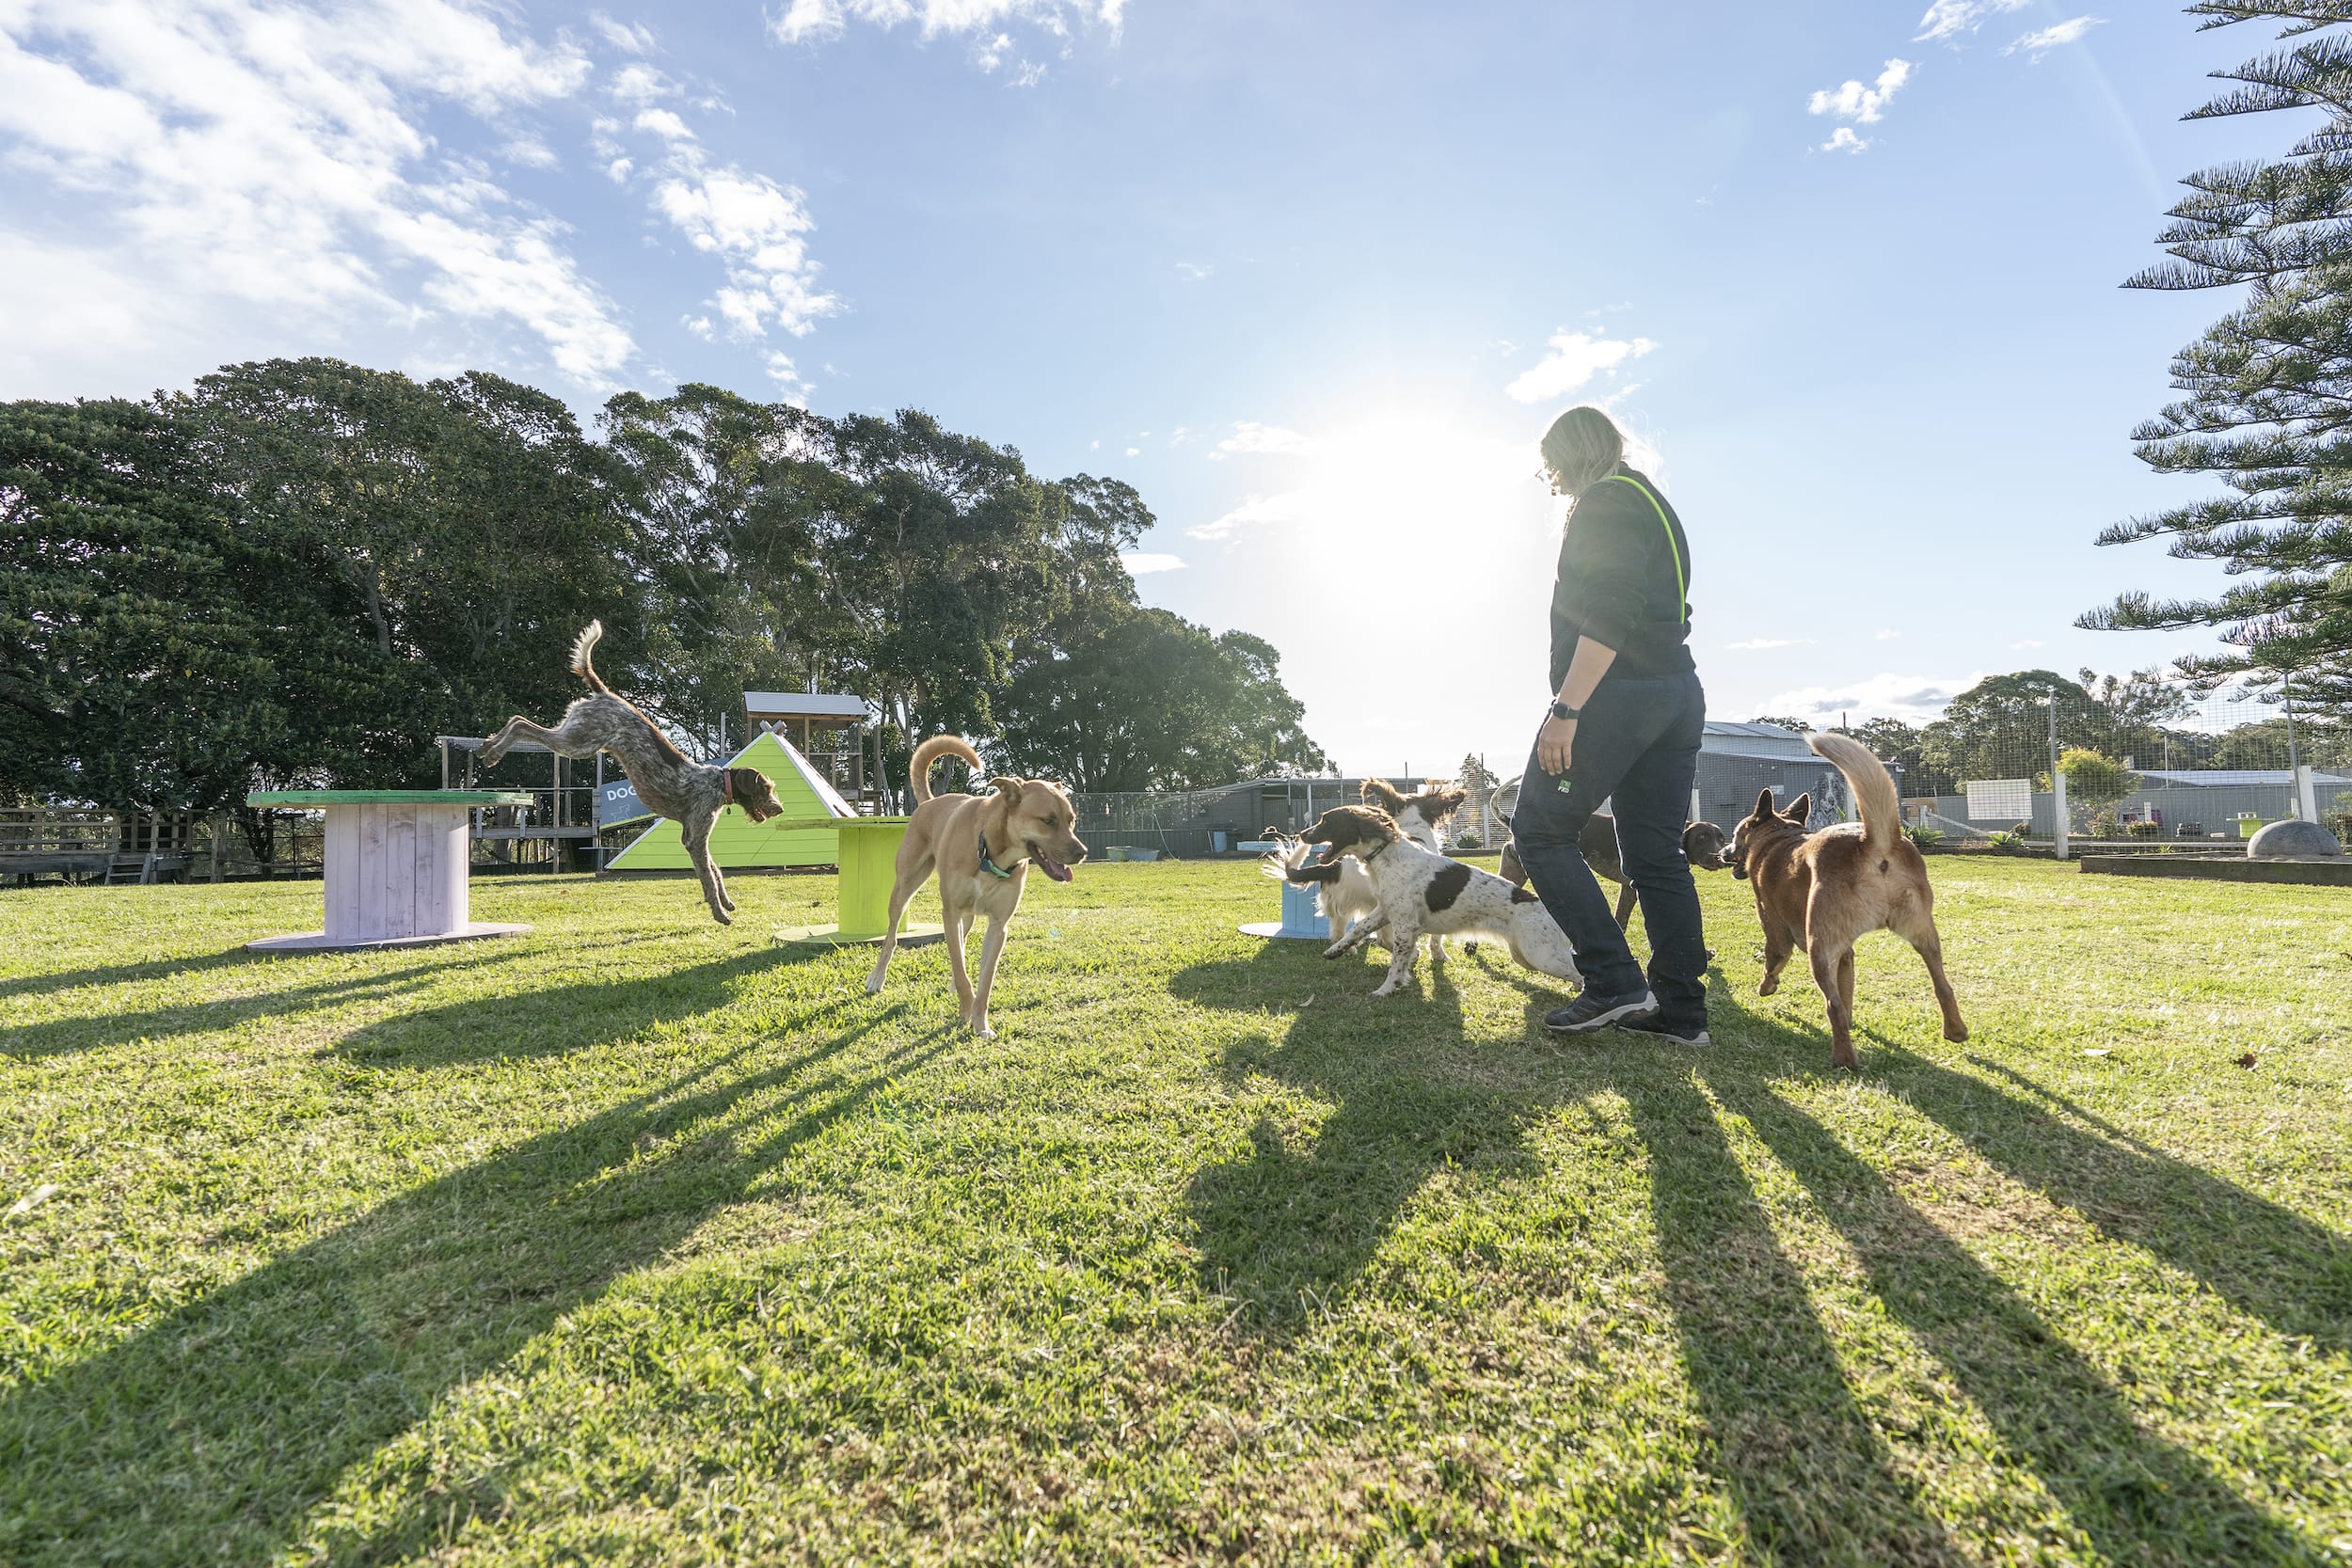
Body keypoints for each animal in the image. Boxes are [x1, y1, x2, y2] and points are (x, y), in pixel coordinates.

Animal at [482, 620, 786, 926]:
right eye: (766, 789)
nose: (780, 808)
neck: (718, 784)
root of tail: (604, 693)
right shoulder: (695, 838)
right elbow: (709, 877)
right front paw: (719, 911)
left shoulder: (694, 836)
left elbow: (715, 870)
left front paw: (726, 902)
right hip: (579, 742)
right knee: (522, 723)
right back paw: (493, 751)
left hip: (577, 738)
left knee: (518, 720)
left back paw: (488, 745)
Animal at [866, 737, 1082, 1034]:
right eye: (1048, 820)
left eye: (1072, 820)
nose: (1082, 852)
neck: (990, 853)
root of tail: (930, 802)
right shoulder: (950, 913)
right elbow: (961, 971)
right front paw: (966, 1013)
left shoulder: (999, 925)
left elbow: (984, 980)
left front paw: (980, 1024)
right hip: (905, 886)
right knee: (891, 937)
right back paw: (877, 977)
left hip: (966, 916)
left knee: (962, 944)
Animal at [1279, 803, 1571, 1001]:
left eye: (1326, 821)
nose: (1301, 834)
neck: (1387, 853)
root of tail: (1548, 911)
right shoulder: (1384, 910)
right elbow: (1357, 930)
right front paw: (1335, 950)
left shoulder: (1405, 926)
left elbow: (1396, 962)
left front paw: (1386, 989)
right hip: (1524, 955)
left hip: (1542, 956)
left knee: (1578, 974)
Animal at [1731, 728, 1966, 1071]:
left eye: (1736, 834)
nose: (1723, 852)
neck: (1779, 836)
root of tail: (1871, 842)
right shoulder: (1846, 954)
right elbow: (1847, 993)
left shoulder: (1778, 934)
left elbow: (1774, 964)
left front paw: (1766, 988)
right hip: (1924, 934)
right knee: (1943, 986)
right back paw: (1956, 1031)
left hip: (1819, 948)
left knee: (1832, 1005)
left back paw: (1844, 1059)